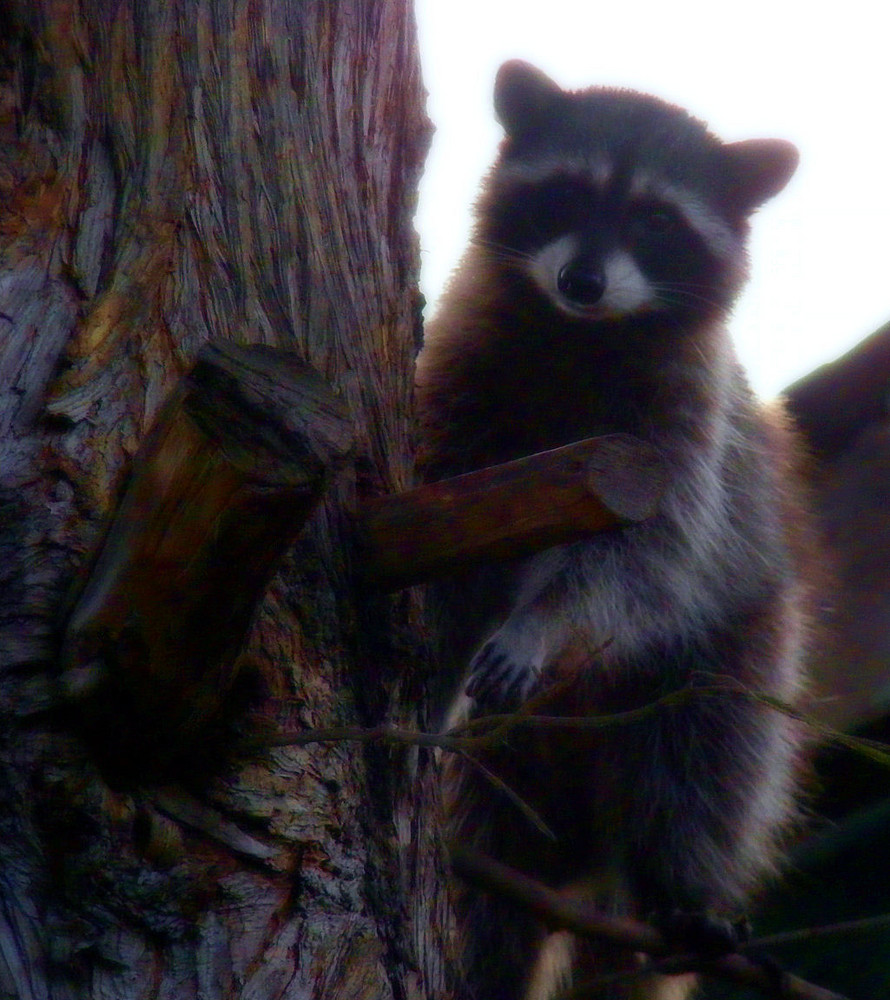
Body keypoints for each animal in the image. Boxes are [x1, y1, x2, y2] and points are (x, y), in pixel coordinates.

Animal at [418, 64, 820, 1000]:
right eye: (569, 194)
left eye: (655, 222)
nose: (584, 281)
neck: (580, 333)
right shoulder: (468, 372)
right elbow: (446, 534)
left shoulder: (679, 435)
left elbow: (641, 560)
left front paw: (544, 620)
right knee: (485, 856)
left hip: (743, 637)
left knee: (706, 753)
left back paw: (676, 887)